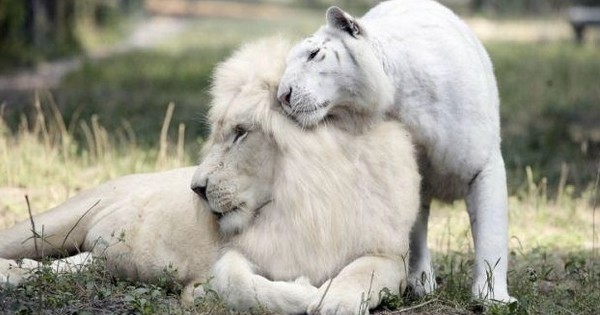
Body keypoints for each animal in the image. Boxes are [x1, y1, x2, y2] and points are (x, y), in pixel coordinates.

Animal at [1, 37, 422, 315]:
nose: (197, 189)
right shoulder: (239, 254)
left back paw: (17, 274)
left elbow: (358, 278)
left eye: (240, 132)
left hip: (97, 254)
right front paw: (206, 293)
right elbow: (240, 285)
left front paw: (331, 298)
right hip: (53, 223)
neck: (306, 200)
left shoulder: (390, 255)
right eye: (220, 132)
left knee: (64, 265)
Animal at [278, 0, 516, 304]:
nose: (282, 96)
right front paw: (422, 283)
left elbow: (491, 233)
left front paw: (493, 297)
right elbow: (413, 231)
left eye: (313, 54)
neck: (401, 98)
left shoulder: (484, 164)